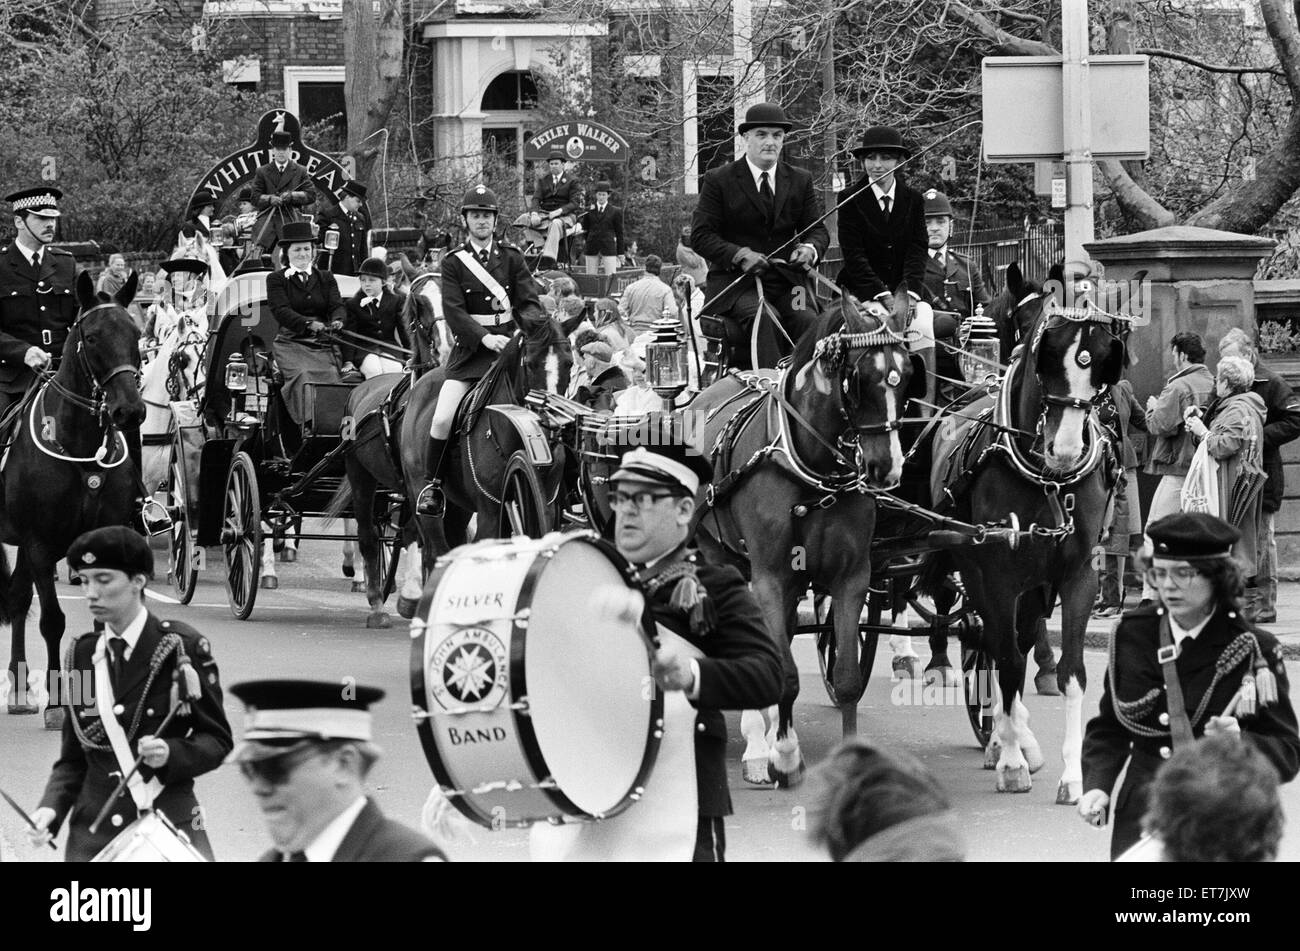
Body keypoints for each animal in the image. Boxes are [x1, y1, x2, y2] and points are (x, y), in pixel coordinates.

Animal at [0, 271, 147, 722]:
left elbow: (102, 621)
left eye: (136, 333)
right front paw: (57, 702)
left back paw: (18, 689)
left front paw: (96, 701)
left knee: (16, 598)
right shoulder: (40, 543)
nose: (129, 411)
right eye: (94, 337)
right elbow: (52, 620)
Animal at [691, 285, 915, 784]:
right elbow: (787, 675)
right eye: (859, 378)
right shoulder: (770, 577)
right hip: (720, 558)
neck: (814, 467)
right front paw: (783, 753)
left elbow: (847, 679)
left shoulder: (852, 578)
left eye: (907, 377)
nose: (888, 468)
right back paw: (756, 741)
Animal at [920, 262, 1123, 800]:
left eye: (1102, 358)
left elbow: (1071, 671)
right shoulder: (998, 575)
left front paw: (1072, 775)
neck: (1046, 478)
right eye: (1042, 346)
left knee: (1009, 638)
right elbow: (1008, 659)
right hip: (971, 566)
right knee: (991, 639)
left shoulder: (1076, 575)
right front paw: (1011, 759)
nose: (1067, 449)